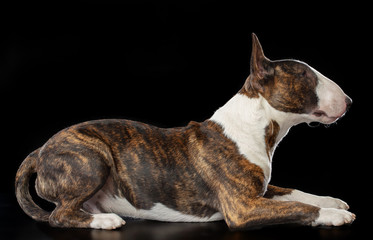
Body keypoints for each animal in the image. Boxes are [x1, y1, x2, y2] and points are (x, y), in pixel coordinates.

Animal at [16, 32, 354, 230]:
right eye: (306, 76)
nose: (350, 101)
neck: (254, 124)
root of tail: (40, 150)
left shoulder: (261, 190)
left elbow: (296, 193)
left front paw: (332, 201)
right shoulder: (242, 207)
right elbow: (297, 206)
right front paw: (333, 215)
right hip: (92, 157)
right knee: (59, 215)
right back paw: (105, 220)